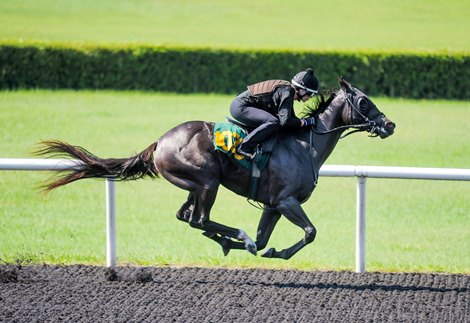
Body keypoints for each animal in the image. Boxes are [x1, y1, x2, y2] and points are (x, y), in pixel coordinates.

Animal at [36, 78, 394, 260]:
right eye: (364, 102)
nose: (389, 124)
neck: (305, 144)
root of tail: (159, 142)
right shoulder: (285, 201)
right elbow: (309, 232)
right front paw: (269, 250)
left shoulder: (272, 205)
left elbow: (265, 240)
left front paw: (264, 248)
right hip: (208, 182)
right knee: (199, 219)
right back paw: (235, 235)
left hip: (194, 185)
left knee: (187, 217)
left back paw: (227, 238)